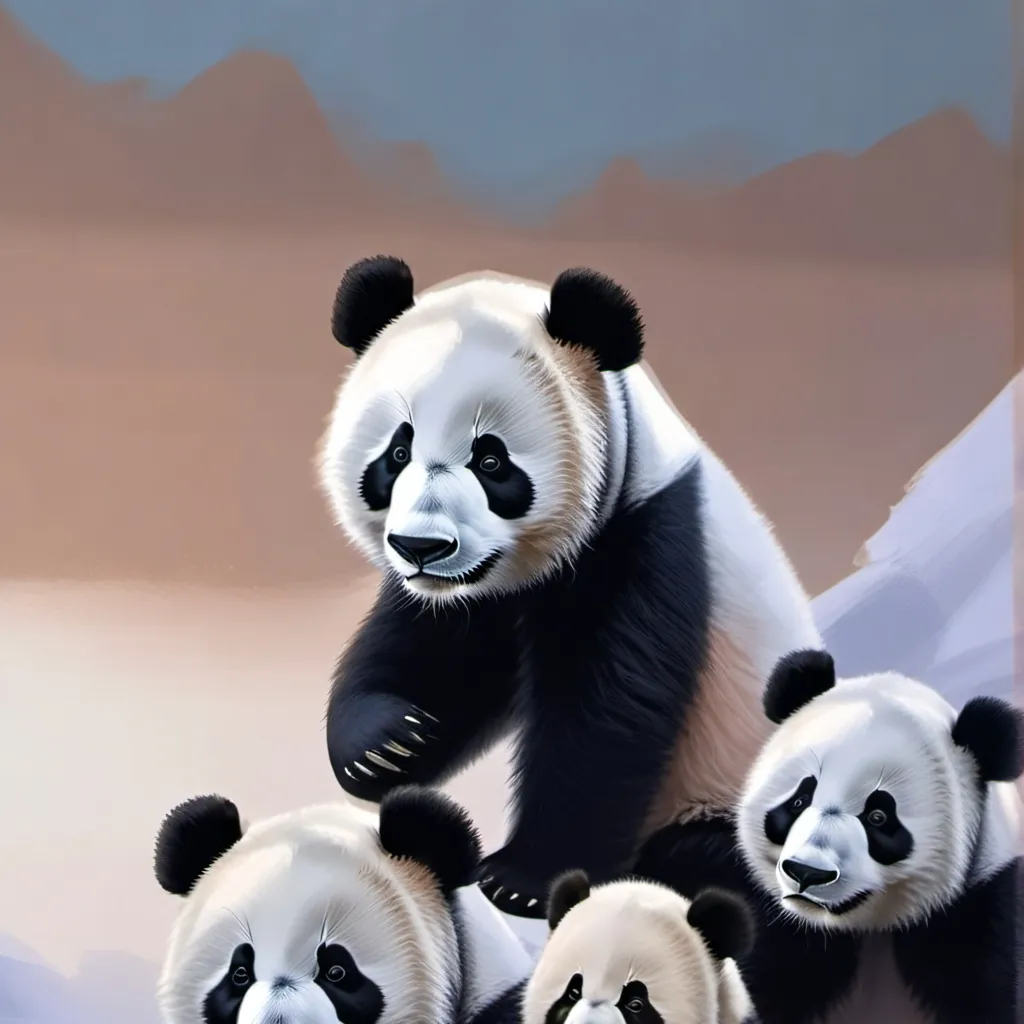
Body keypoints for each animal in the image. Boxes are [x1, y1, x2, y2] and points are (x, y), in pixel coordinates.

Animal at [316, 255, 822, 932]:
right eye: (397, 453)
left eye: (491, 462)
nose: (421, 547)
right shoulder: (468, 595)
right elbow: (433, 656)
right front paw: (386, 744)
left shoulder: (643, 535)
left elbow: (608, 710)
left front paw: (524, 881)